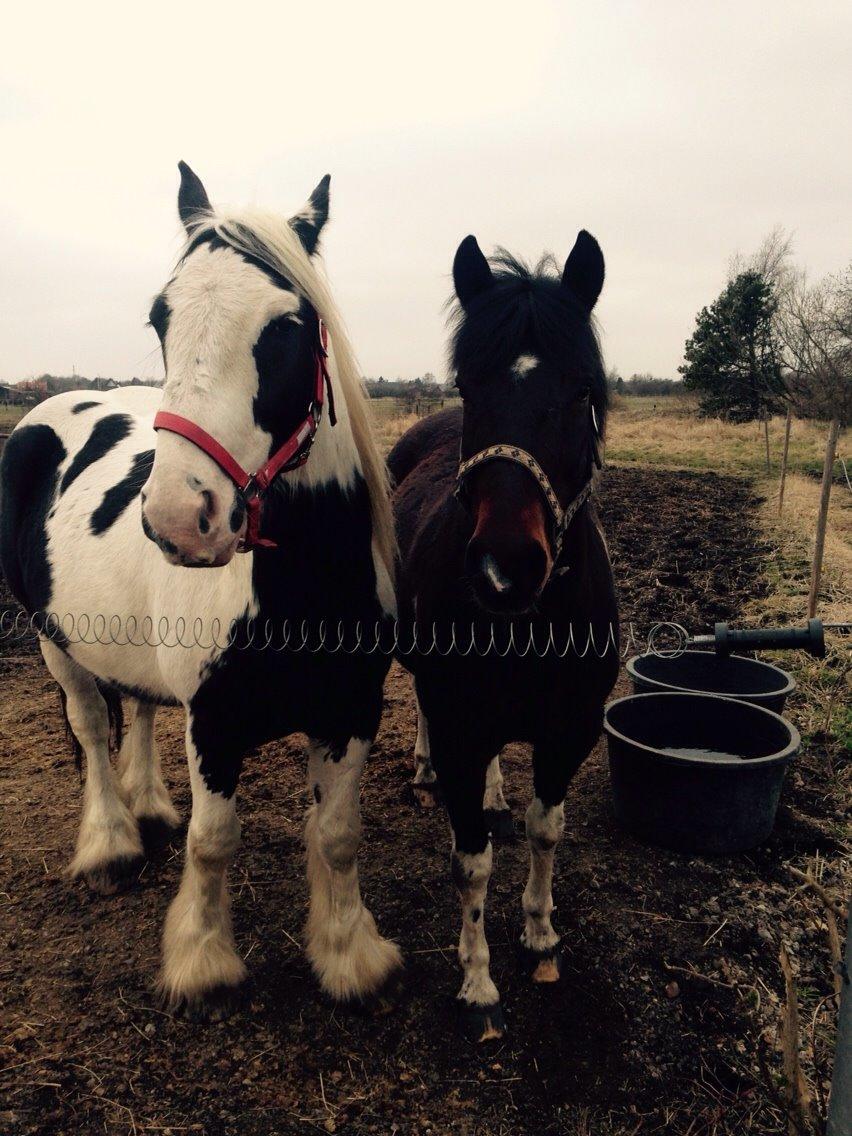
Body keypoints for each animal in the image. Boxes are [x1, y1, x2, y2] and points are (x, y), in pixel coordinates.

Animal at [0, 163, 402, 1020]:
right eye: (161, 317)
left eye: (287, 326)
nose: (181, 518)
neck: (298, 584)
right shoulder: (215, 724)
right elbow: (215, 842)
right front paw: (202, 960)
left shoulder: (352, 712)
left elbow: (338, 835)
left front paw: (349, 955)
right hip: (55, 643)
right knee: (91, 728)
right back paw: (111, 842)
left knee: (142, 708)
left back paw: (149, 805)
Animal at [388, 232, 619, 1041]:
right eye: (466, 386)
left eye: (581, 392)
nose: (504, 567)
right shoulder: (462, 725)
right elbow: (473, 862)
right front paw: (478, 978)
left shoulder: (569, 731)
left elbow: (545, 829)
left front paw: (541, 933)